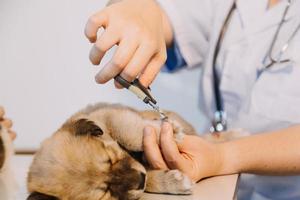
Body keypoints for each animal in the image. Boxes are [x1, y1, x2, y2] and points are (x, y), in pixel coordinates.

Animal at [25, 103, 241, 200]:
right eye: (105, 193)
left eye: (110, 158)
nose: (140, 179)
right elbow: (149, 179)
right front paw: (174, 182)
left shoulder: (108, 115)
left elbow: (129, 132)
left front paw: (170, 132)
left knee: (208, 138)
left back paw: (235, 134)